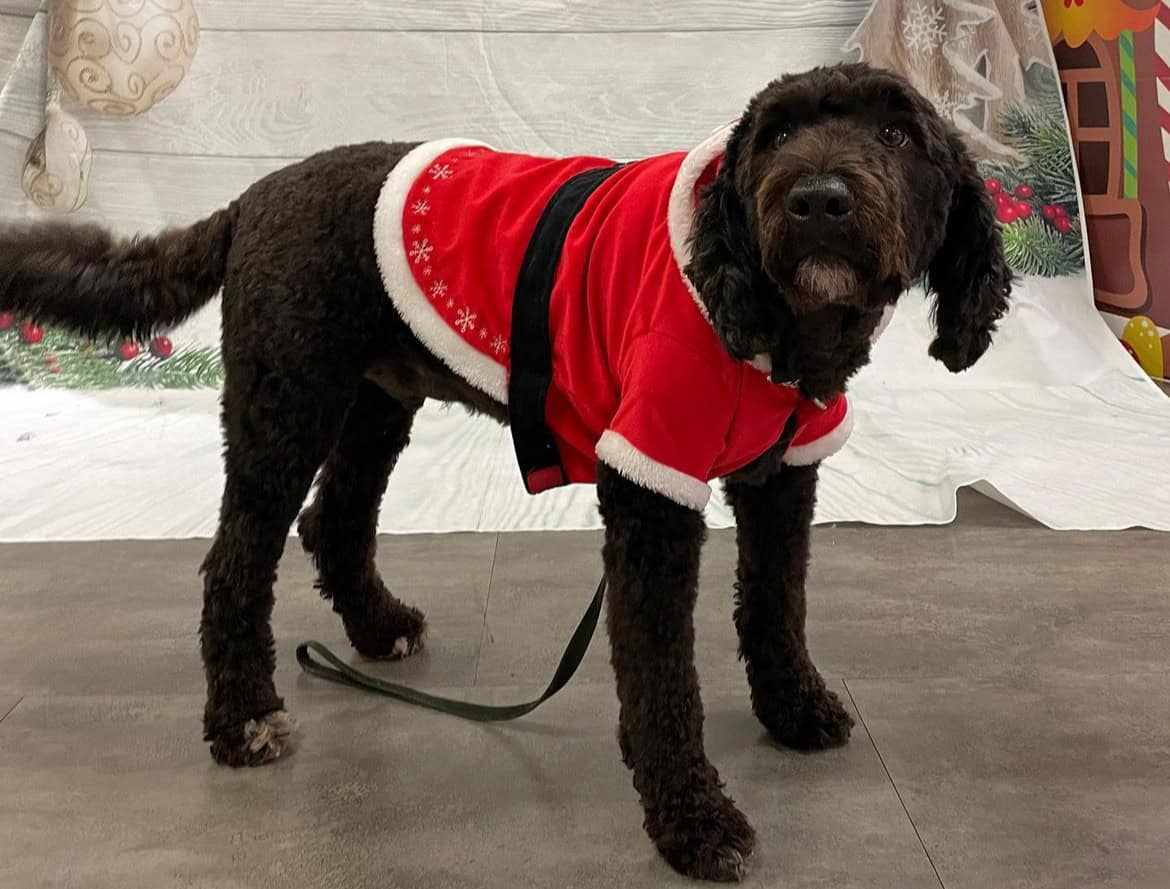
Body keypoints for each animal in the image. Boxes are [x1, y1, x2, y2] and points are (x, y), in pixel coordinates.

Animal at [0, 64, 1006, 884]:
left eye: (900, 136)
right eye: (778, 135)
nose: (816, 200)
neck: (777, 327)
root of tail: (254, 195)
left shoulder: (782, 477)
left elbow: (775, 604)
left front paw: (793, 707)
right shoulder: (650, 486)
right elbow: (661, 675)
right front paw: (692, 820)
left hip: (376, 403)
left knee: (337, 518)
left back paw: (378, 627)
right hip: (283, 407)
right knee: (236, 563)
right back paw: (243, 718)